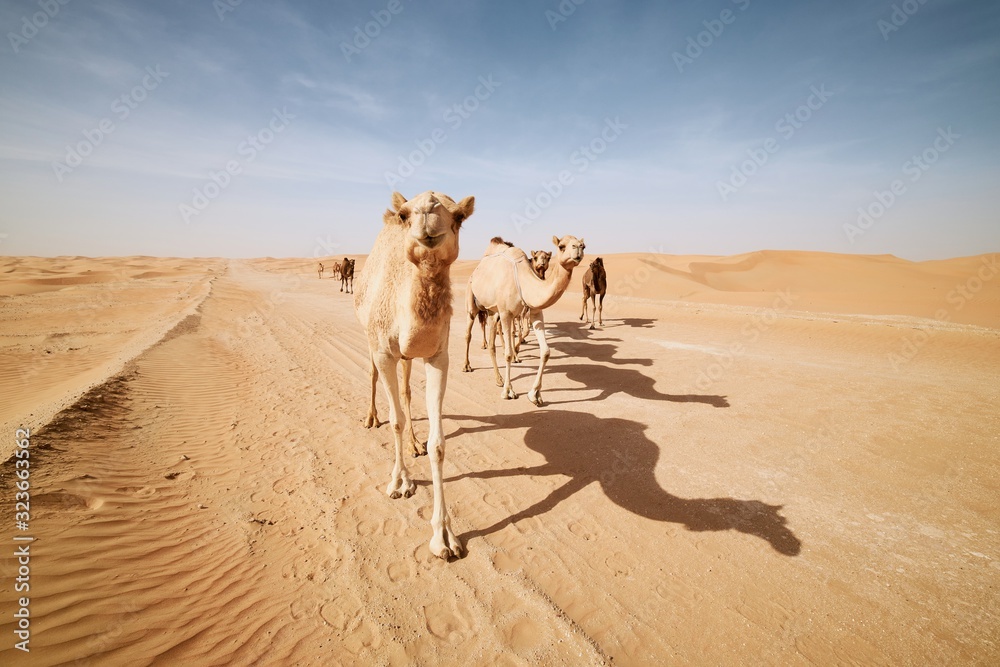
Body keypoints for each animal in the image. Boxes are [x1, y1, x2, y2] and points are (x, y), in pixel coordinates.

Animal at [354, 190, 474, 560]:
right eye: (405, 215)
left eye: (459, 216)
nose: (427, 213)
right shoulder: (384, 350)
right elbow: (394, 421)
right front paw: (400, 482)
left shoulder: (438, 355)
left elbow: (439, 444)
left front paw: (444, 537)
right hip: (369, 334)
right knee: (373, 376)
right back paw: (370, 417)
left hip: (407, 357)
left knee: (407, 391)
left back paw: (414, 443)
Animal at [462, 234, 584, 408]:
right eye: (561, 246)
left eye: (584, 246)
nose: (578, 248)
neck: (524, 280)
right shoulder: (506, 313)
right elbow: (507, 353)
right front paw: (508, 391)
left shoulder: (535, 313)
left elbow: (545, 351)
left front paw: (535, 394)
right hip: (471, 300)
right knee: (468, 334)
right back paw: (467, 366)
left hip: (492, 312)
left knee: (492, 344)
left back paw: (498, 378)